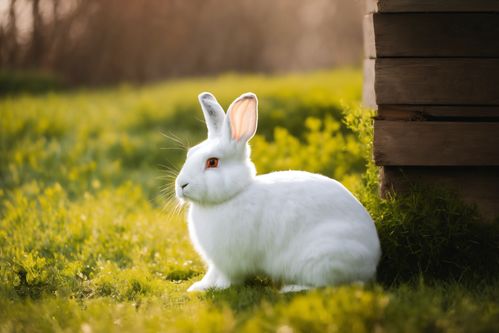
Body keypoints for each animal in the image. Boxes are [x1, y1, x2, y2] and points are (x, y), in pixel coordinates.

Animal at [177, 92, 382, 292]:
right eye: (190, 153)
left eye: (212, 162)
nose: (181, 185)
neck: (234, 194)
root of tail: (372, 262)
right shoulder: (215, 262)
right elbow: (211, 273)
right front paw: (198, 287)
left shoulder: (231, 261)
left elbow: (229, 278)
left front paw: (220, 287)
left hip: (322, 259)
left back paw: (292, 288)